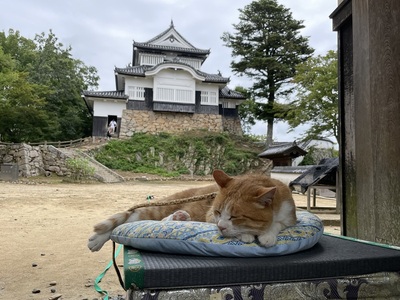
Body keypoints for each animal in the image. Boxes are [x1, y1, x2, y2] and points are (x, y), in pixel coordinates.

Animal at [87, 170, 296, 252]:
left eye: (235, 216)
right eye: (219, 212)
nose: (221, 228)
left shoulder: (290, 217)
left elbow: (278, 224)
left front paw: (267, 235)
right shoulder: (211, 216)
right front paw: (247, 235)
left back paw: (180, 217)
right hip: (158, 210)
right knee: (135, 218)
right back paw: (96, 239)